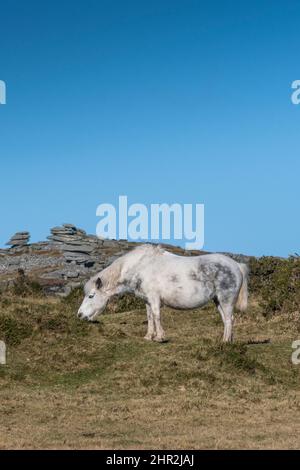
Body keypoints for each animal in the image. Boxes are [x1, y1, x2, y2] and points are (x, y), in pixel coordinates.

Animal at [77, 246, 248, 342]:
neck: (140, 267)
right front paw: (149, 336)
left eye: (91, 295)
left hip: (226, 300)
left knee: (229, 319)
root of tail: (237, 265)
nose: (79, 315)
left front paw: (160, 337)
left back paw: (225, 342)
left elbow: (156, 315)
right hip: (218, 301)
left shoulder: (154, 299)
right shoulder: (147, 300)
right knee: (226, 320)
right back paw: (228, 340)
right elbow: (149, 317)